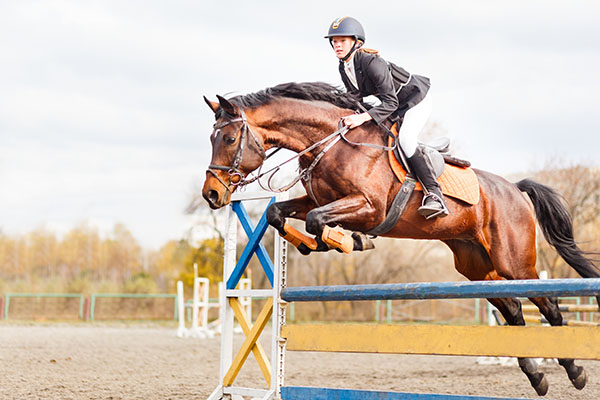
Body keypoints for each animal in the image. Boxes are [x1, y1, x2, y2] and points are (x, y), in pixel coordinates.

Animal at [203, 80, 600, 394]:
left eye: (229, 138)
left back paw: (575, 371)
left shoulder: (369, 207)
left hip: (514, 263)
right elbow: (278, 214)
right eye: (211, 138)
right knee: (515, 311)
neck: (331, 144)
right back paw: (537, 377)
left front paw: (347, 241)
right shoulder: (318, 200)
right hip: (478, 268)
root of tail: (515, 189)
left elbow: (318, 220)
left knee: (550, 307)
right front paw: (313, 243)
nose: (212, 195)